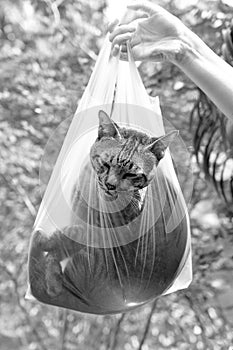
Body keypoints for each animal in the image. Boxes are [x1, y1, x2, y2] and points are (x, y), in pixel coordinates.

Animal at [28, 110, 187, 314]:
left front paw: (47, 245)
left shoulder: (98, 232)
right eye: (106, 164)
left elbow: (65, 240)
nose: (111, 185)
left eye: (132, 175)